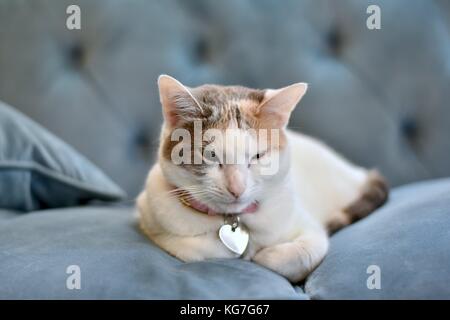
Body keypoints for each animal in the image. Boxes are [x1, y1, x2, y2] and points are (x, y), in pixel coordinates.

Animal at [137, 75, 386, 282]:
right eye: (210, 155)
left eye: (258, 156)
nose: (236, 188)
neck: (235, 221)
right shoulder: (150, 213)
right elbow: (193, 249)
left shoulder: (309, 228)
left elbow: (303, 253)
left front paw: (265, 255)